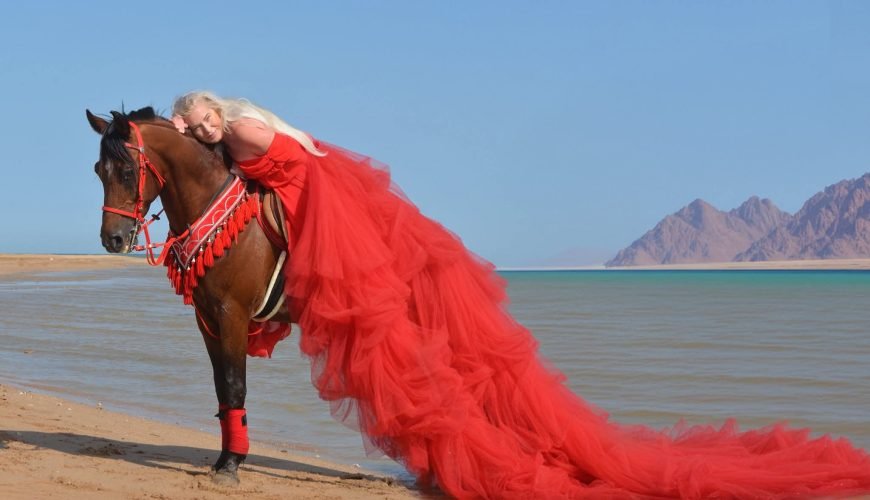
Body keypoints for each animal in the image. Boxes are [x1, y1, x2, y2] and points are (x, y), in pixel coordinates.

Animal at [87, 107, 289, 485]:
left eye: (127, 171)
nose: (113, 239)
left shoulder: (233, 314)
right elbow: (222, 389)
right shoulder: (207, 318)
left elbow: (235, 384)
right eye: (98, 170)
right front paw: (225, 458)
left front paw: (231, 465)